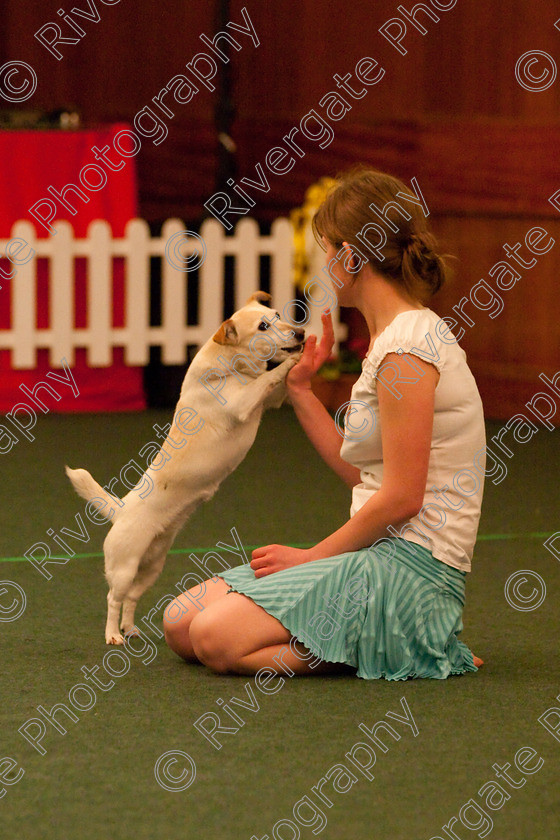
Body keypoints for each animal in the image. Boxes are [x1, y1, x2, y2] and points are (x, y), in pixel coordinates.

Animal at [66, 292, 304, 648]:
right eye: (263, 326)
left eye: (278, 315)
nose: (300, 332)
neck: (232, 369)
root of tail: (120, 510)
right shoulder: (243, 402)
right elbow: (270, 376)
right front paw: (296, 359)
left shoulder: (269, 401)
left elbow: (274, 384)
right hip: (123, 568)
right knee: (113, 598)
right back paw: (113, 634)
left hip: (152, 566)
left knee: (132, 598)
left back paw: (130, 628)